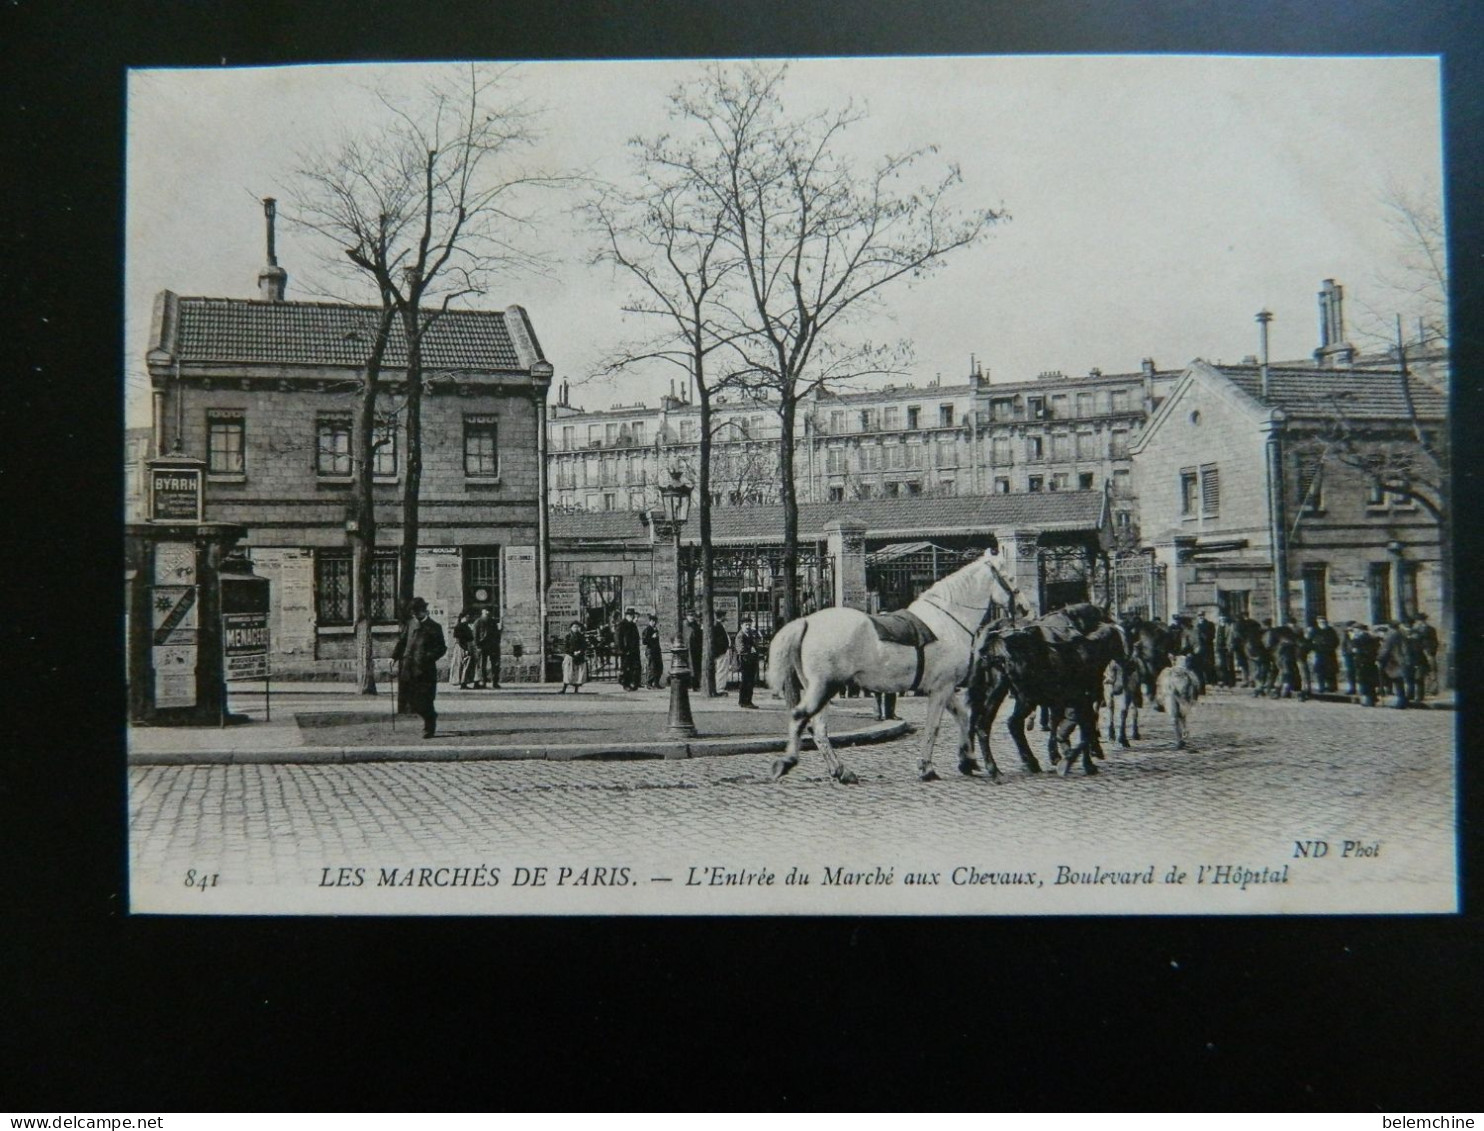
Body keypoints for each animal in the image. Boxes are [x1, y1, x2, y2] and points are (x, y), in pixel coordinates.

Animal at [771, 546, 1026, 783]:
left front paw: (967, 760)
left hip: (821, 689)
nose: (1024, 608)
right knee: (801, 717)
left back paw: (841, 771)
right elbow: (933, 726)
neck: (948, 619)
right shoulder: (941, 688)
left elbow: (962, 716)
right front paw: (927, 768)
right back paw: (787, 762)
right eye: (1010, 578)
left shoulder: (944, 687)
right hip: (825, 687)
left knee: (818, 729)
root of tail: (807, 622)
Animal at [961, 602, 1121, 777]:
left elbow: (1060, 720)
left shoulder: (1064, 697)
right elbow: (1080, 721)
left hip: (992, 690)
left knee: (976, 721)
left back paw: (972, 764)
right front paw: (1078, 756)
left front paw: (1061, 752)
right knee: (1005, 723)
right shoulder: (1078, 696)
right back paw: (1005, 765)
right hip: (1018, 695)